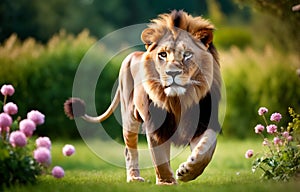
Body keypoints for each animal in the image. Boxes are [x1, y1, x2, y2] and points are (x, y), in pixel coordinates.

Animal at [64, 10, 221, 184]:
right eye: (162, 55)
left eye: (187, 55)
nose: (172, 73)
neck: (178, 100)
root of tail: (133, 54)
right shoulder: (156, 125)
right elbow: (160, 158)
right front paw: (166, 182)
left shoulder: (204, 122)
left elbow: (206, 150)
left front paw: (187, 171)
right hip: (129, 117)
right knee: (129, 150)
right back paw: (134, 178)